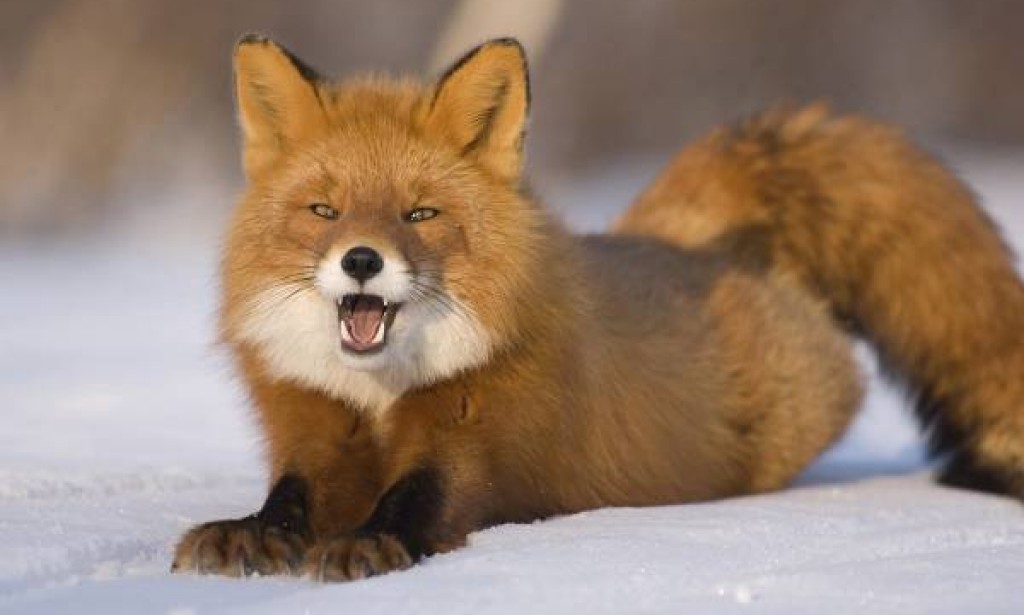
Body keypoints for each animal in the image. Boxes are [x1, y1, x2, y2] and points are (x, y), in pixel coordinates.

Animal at [171, 35, 1024, 581]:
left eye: (419, 214)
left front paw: (368, 544)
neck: (380, 394)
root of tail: (681, 240)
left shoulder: (478, 436)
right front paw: (251, 535)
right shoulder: (313, 425)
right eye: (324, 210)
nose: (360, 259)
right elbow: (290, 496)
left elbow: (417, 499)